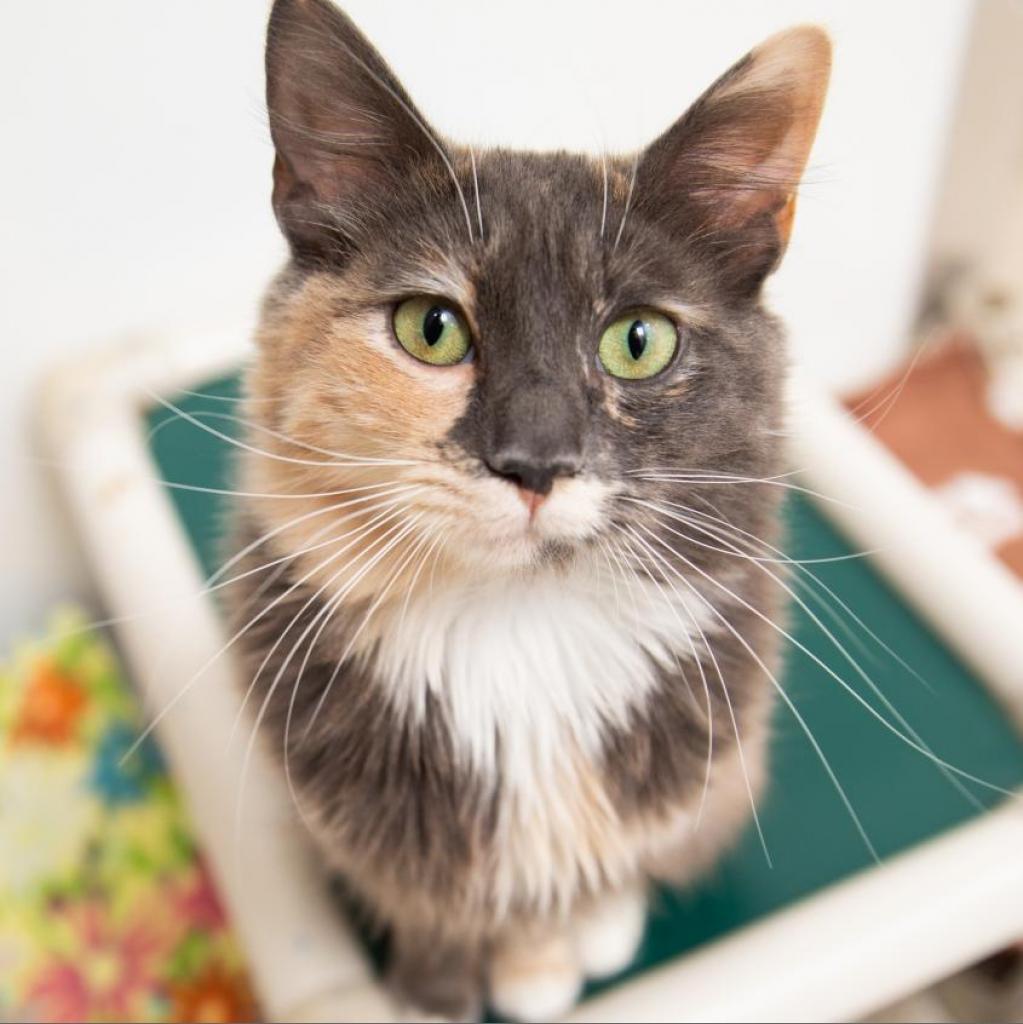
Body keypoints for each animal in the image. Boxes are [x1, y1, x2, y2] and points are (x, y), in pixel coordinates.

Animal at [226, 4, 831, 1019]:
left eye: (638, 341)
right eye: (431, 329)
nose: (536, 462)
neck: (517, 632)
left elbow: (591, 873)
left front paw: (552, 954)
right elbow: (428, 900)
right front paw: (432, 990)